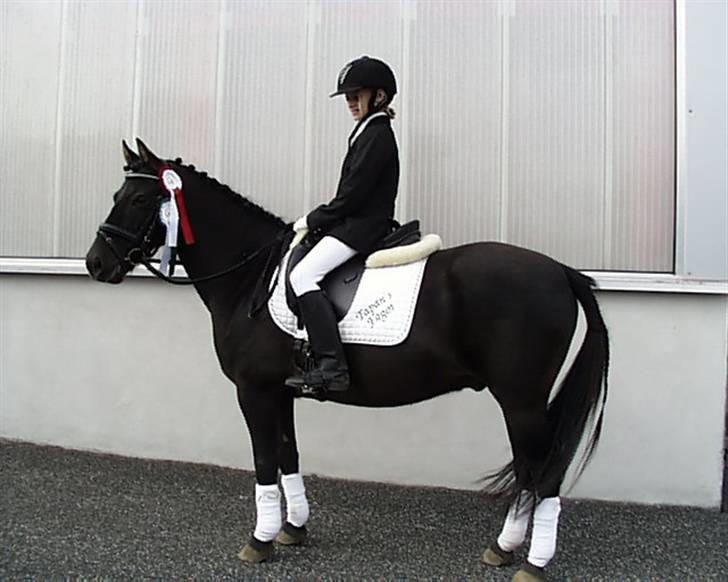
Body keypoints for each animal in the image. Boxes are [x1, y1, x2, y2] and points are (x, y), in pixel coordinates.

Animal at [86, 139, 609, 582]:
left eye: (139, 200)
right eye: (117, 194)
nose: (95, 263)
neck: (251, 277)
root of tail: (560, 271)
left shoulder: (253, 390)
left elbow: (263, 459)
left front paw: (259, 539)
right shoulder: (280, 391)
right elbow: (288, 454)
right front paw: (292, 528)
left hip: (521, 401)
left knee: (544, 474)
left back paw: (533, 564)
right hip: (521, 403)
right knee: (529, 470)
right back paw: (503, 549)